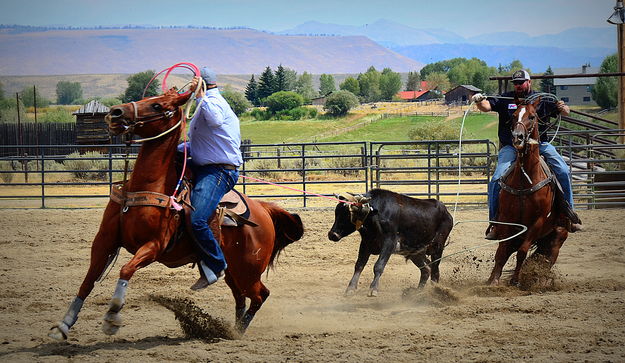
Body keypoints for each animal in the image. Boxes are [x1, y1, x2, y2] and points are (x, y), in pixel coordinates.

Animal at [48, 88, 302, 342]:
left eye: (158, 106)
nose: (116, 112)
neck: (148, 185)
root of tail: (263, 210)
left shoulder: (154, 246)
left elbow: (126, 269)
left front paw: (112, 316)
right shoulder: (104, 241)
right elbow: (88, 280)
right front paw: (64, 324)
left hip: (248, 270)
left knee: (260, 295)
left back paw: (237, 331)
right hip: (234, 271)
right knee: (241, 297)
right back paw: (228, 327)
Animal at [488, 97, 572, 288]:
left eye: (532, 116)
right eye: (513, 116)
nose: (517, 137)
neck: (524, 180)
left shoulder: (537, 222)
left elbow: (522, 252)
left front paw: (515, 280)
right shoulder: (506, 220)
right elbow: (501, 251)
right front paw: (494, 281)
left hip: (557, 236)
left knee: (547, 259)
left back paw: (540, 281)